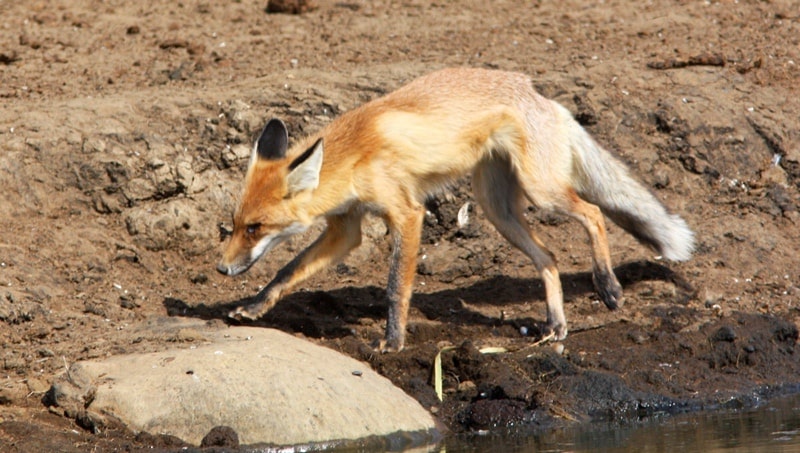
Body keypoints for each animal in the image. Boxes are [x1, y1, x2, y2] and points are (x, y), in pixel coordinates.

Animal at [217, 67, 692, 352]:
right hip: (499, 210)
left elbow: (395, 288)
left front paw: (393, 341)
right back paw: (556, 326)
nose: (222, 269)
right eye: (233, 225)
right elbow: (286, 273)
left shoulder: (406, 214)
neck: (352, 155)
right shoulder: (345, 228)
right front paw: (255, 307)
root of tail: (540, 95)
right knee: (550, 257)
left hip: (543, 192)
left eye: (255, 228)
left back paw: (608, 286)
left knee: (593, 214)